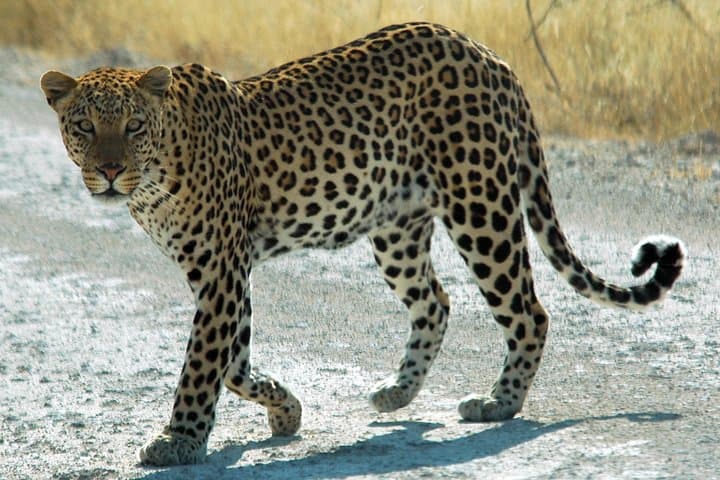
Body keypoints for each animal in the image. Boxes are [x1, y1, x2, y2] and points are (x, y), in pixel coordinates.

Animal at [40, 22, 685, 466]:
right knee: (436, 302)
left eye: (133, 127)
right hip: (396, 227)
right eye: (84, 127)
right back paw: (398, 393)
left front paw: (178, 441)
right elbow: (234, 362)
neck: (155, 178)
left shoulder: (221, 271)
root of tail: (487, 53)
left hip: (481, 207)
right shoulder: (224, 272)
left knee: (529, 310)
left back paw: (498, 404)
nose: (109, 173)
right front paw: (286, 409)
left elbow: (202, 366)